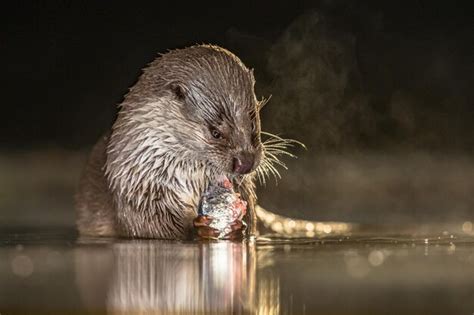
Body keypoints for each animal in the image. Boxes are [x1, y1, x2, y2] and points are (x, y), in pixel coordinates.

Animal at [77, 44, 352, 241]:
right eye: (215, 132)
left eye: (252, 122)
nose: (245, 162)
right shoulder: (138, 192)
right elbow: (154, 226)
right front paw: (199, 229)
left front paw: (239, 225)